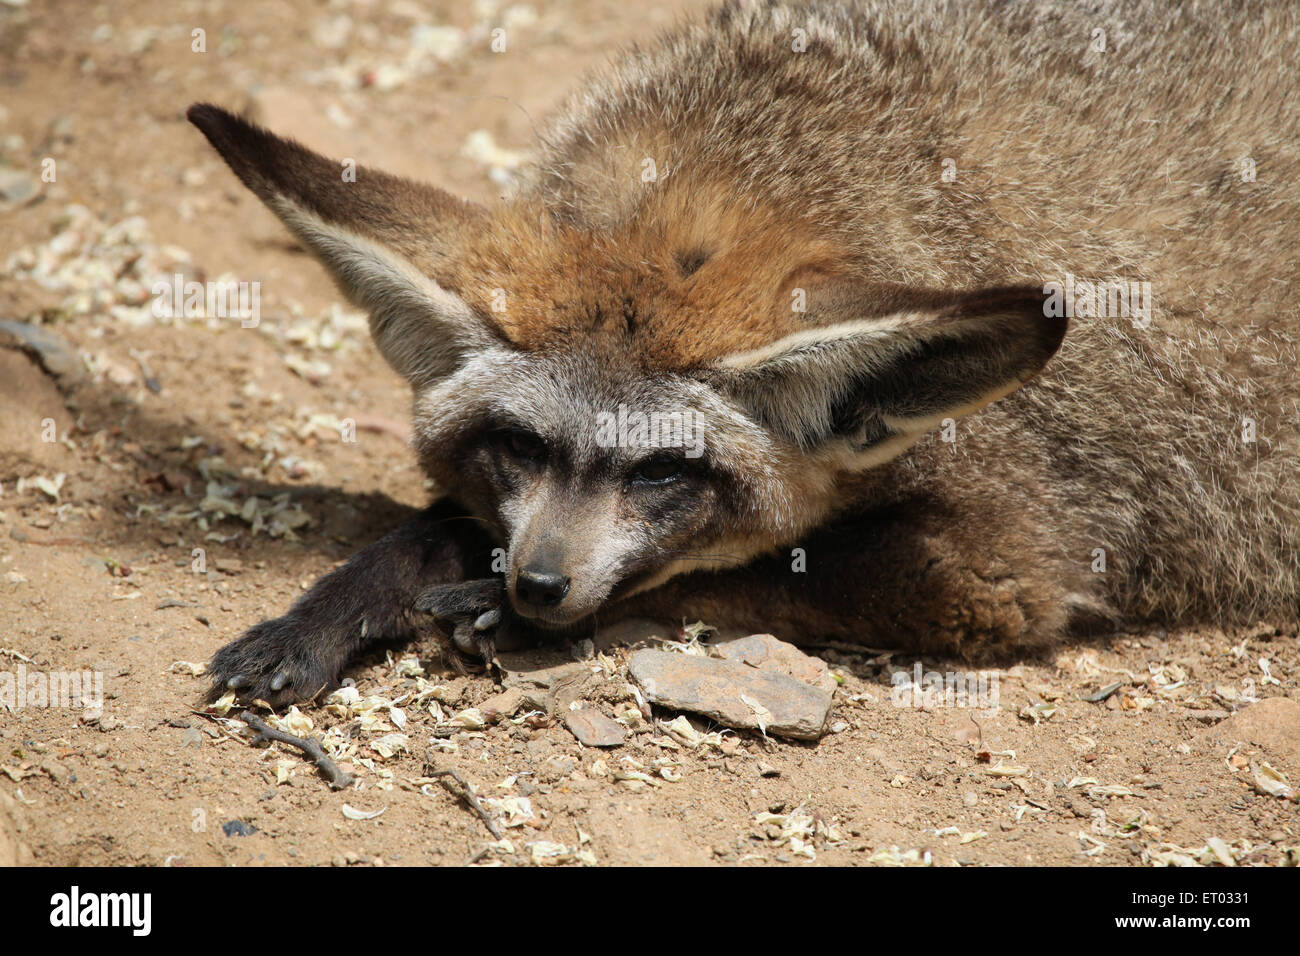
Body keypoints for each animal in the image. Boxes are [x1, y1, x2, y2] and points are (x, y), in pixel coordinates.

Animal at [189, 0, 1299, 706]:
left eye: (664, 471)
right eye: (520, 446)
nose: (540, 586)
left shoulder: (1009, 561)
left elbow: (740, 570)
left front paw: (496, 610)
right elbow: (426, 529)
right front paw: (335, 606)